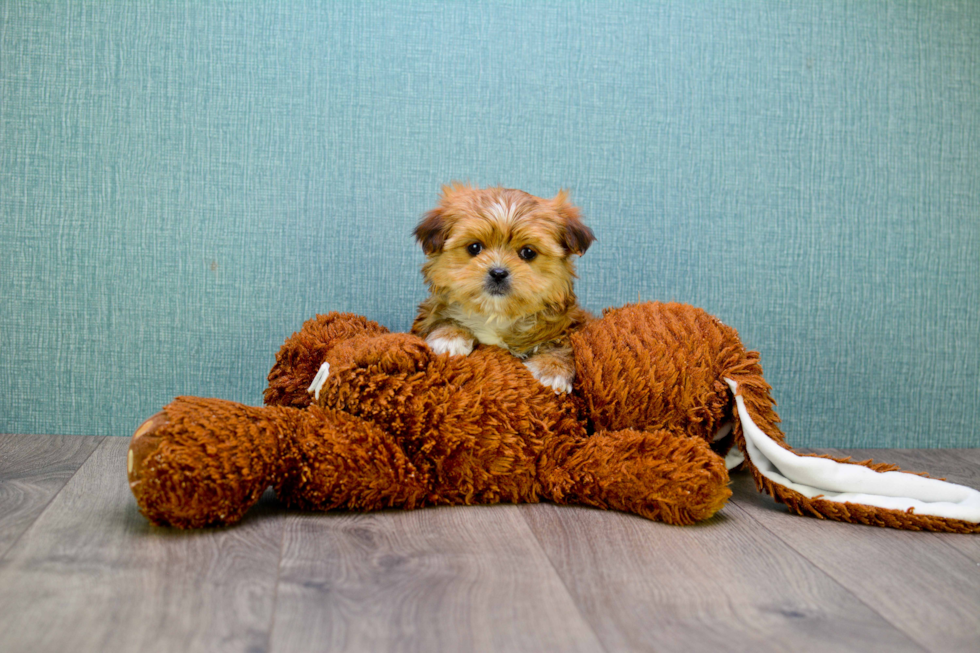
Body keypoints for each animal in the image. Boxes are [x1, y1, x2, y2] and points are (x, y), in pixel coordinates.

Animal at [410, 182, 592, 392]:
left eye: (528, 252)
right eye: (474, 247)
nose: (498, 273)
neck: (496, 315)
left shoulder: (571, 322)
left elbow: (563, 342)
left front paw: (552, 369)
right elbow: (441, 317)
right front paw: (449, 336)